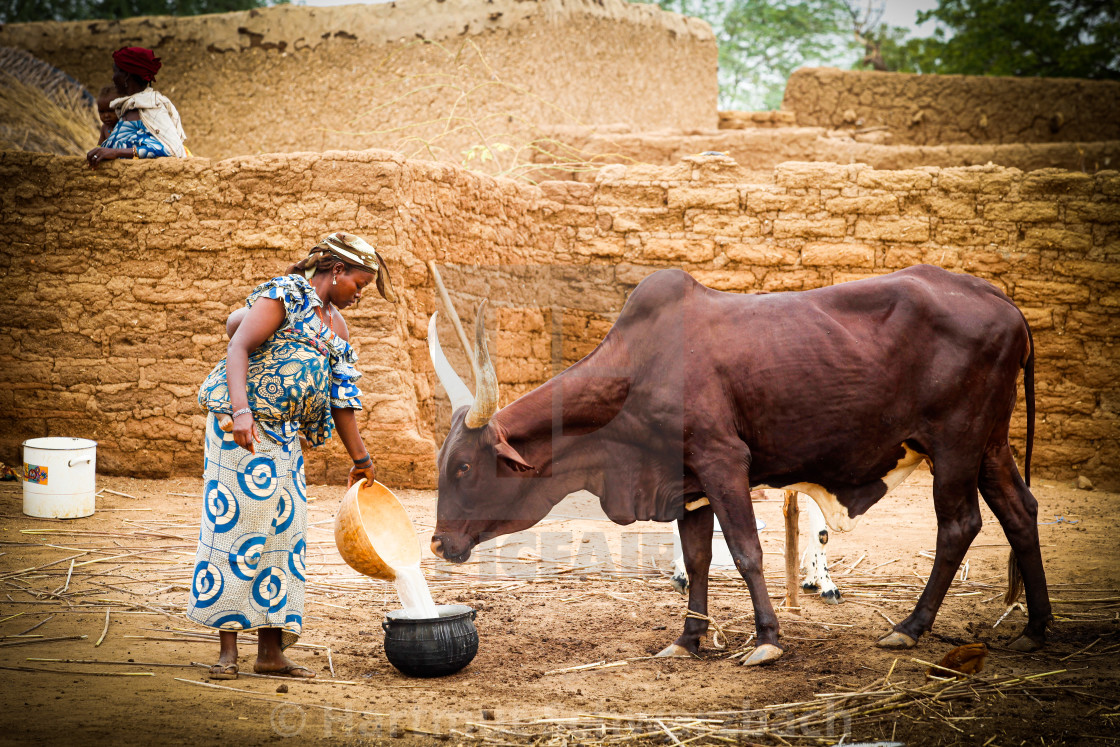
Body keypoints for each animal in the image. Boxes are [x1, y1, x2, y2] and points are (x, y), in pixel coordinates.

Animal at [425, 267, 1048, 667]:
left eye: (463, 467)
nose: (436, 543)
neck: (640, 370)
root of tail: (1005, 305)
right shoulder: (688, 484)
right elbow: (698, 560)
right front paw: (688, 639)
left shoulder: (723, 461)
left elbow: (747, 552)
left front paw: (767, 639)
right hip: (989, 446)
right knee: (1020, 512)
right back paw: (1037, 630)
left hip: (956, 445)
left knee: (959, 526)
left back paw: (910, 628)